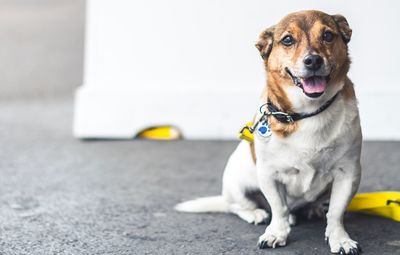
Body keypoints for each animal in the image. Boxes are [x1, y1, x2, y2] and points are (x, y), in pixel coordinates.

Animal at [175, 9, 362, 255]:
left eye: (328, 36)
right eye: (288, 40)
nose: (313, 60)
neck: (308, 113)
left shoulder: (347, 173)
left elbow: (336, 212)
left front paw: (340, 239)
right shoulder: (269, 174)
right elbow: (279, 208)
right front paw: (276, 233)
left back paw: (311, 208)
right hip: (237, 186)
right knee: (238, 207)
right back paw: (256, 213)